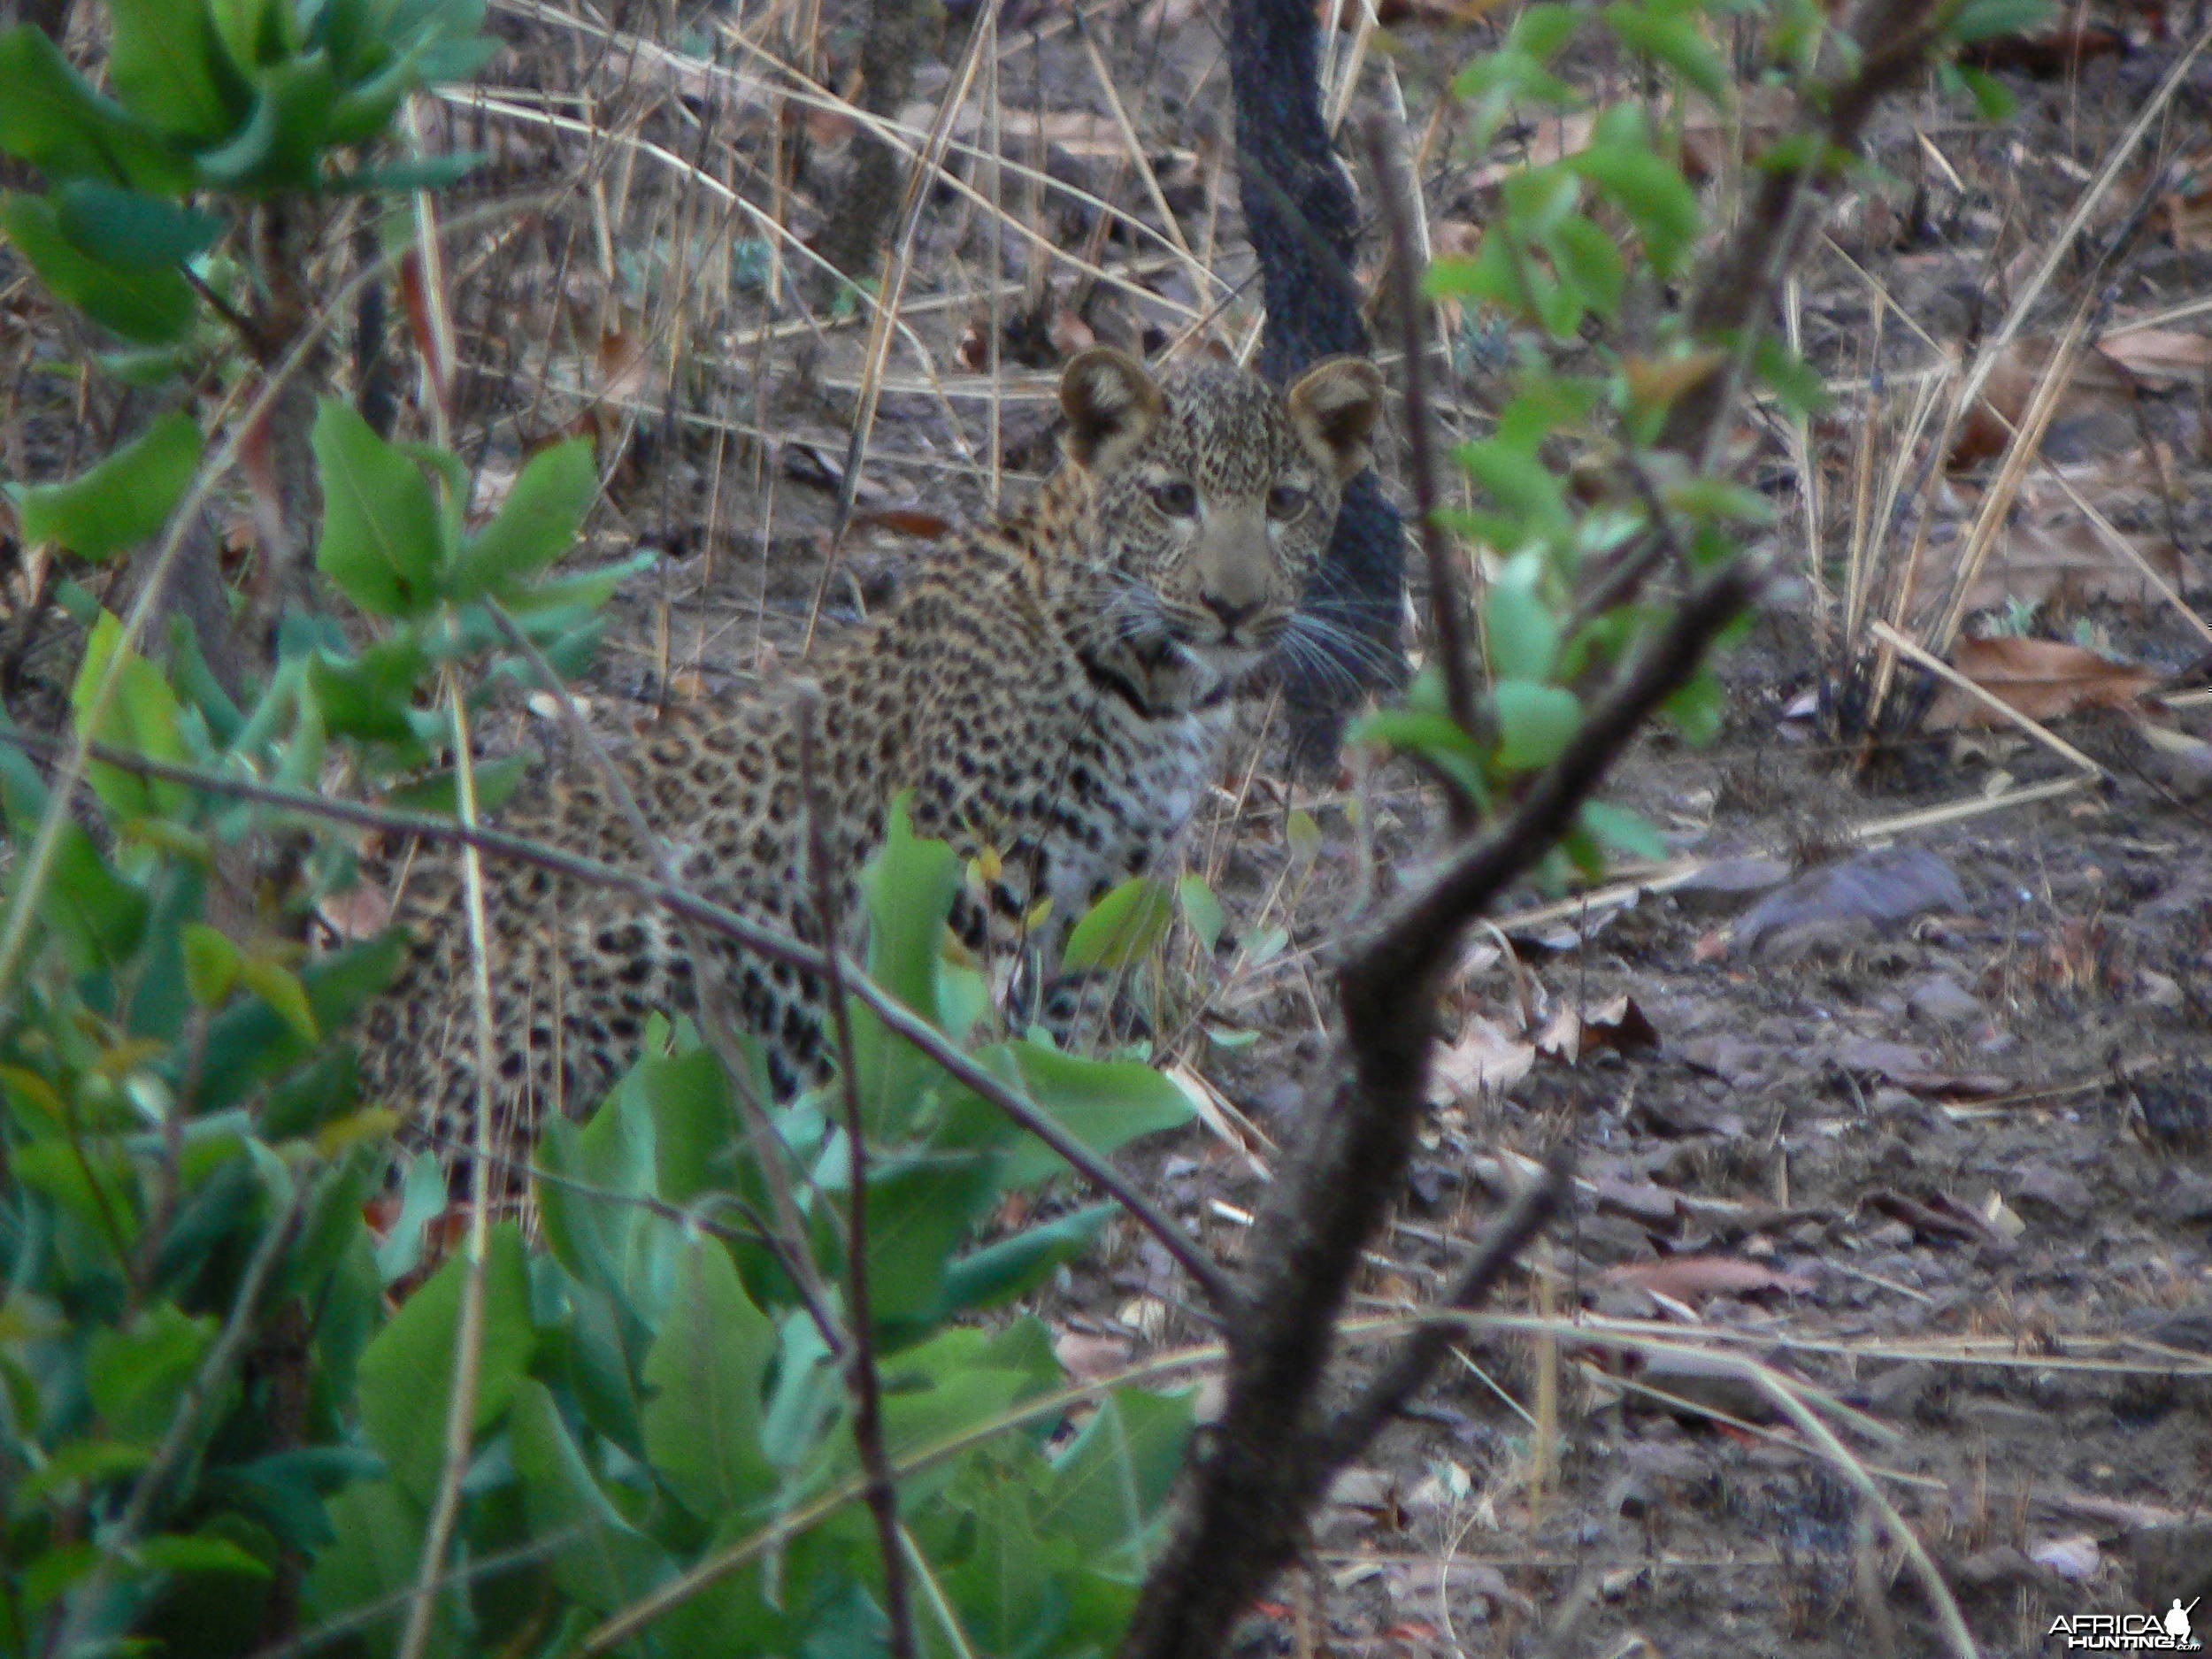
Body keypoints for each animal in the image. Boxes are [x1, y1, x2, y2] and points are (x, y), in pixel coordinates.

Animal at [360, 345, 1380, 1159]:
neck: (1156, 692)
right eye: (1173, 499)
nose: (1235, 606)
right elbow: (970, 1022)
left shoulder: (1113, 892)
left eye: (1286, 503)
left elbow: (1064, 1038)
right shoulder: (965, 868)